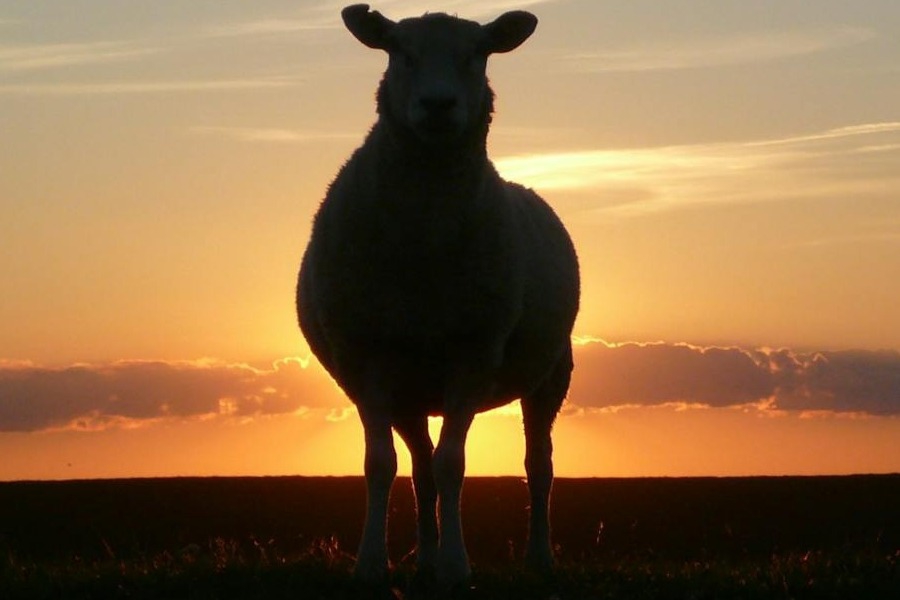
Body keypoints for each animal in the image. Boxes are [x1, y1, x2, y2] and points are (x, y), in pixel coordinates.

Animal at [296, 3, 576, 584]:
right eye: (399, 51)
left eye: (479, 53)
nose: (438, 104)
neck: (422, 238)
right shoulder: (368, 357)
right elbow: (381, 465)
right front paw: (372, 565)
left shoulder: (472, 352)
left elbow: (454, 465)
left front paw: (454, 566)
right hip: (410, 390)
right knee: (420, 469)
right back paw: (422, 558)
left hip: (551, 374)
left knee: (538, 466)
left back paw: (539, 557)